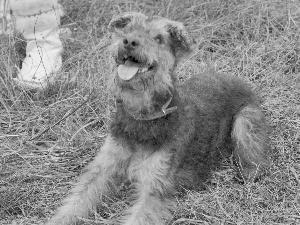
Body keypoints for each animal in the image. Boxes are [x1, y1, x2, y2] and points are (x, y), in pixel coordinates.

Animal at [45, 12, 270, 225]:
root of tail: (242, 82)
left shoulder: (154, 186)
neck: (141, 116)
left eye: (159, 38)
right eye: (128, 28)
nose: (129, 41)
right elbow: (75, 204)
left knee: (254, 159)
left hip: (245, 123)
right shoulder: (103, 169)